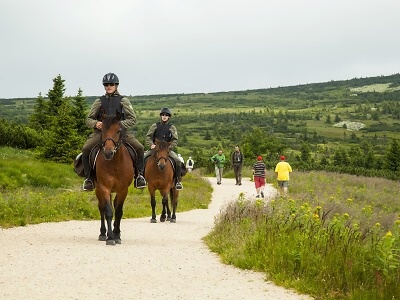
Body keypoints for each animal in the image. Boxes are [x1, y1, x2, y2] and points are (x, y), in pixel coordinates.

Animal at [94, 112, 134, 244]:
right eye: (102, 130)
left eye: (118, 130)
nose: (108, 153)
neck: (114, 164)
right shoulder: (104, 188)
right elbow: (108, 212)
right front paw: (110, 238)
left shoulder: (123, 190)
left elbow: (119, 212)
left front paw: (116, 235)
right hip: (98, 189)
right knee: (101, 207)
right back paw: (103, 233)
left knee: (115, 206)